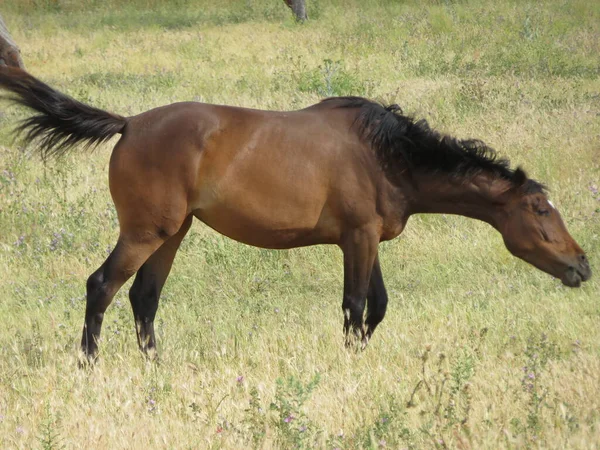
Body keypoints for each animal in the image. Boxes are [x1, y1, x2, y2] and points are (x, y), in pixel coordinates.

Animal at [0, 67, 592, 360]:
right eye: (540, 208)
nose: (582, 265)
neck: (385, 154)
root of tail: (129, 124)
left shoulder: (367, 238)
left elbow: (375, 308)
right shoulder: (358, 238)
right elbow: (356, 307)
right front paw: (349, 368)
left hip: (172, 233)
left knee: (144, 299)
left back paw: (155, 368)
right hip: (146, 232)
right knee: (101, 286)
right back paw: (89, 364)